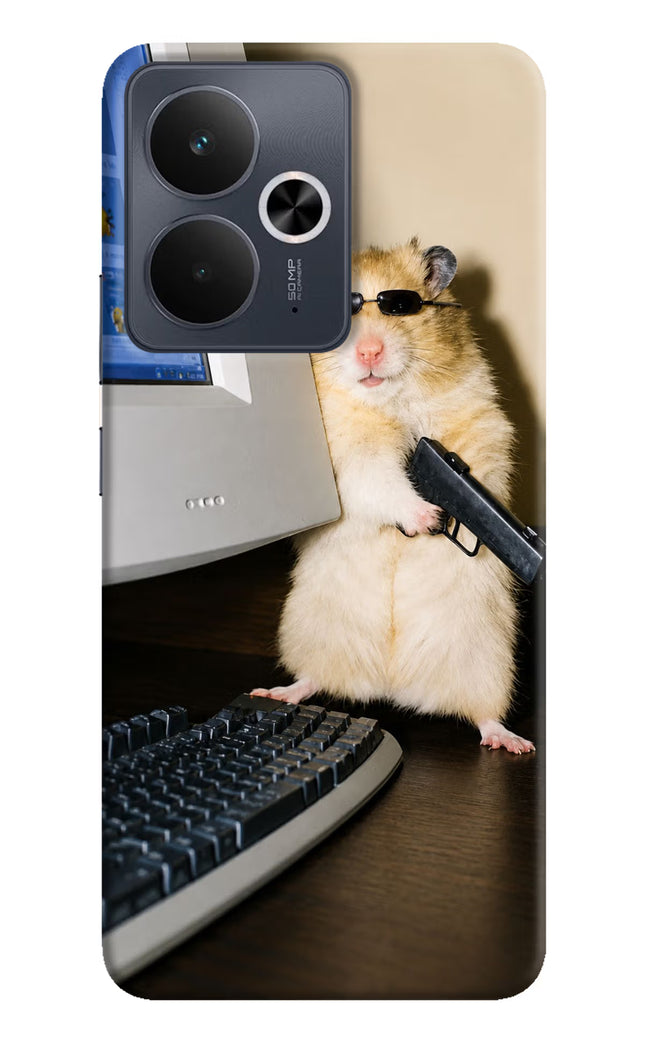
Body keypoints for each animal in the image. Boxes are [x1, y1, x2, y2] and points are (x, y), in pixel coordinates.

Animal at [252, 239, 534, 754]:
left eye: (401, 307)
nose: (369, 351)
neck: (389, 400)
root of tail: (392, 686)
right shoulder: (348, 458)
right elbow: (380, 481)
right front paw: (428, 518)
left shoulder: (480, 423)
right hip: (311, 631)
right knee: (313, 678)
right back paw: (276, 692)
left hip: (488, 660)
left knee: (483, 714)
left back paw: (512, 742)